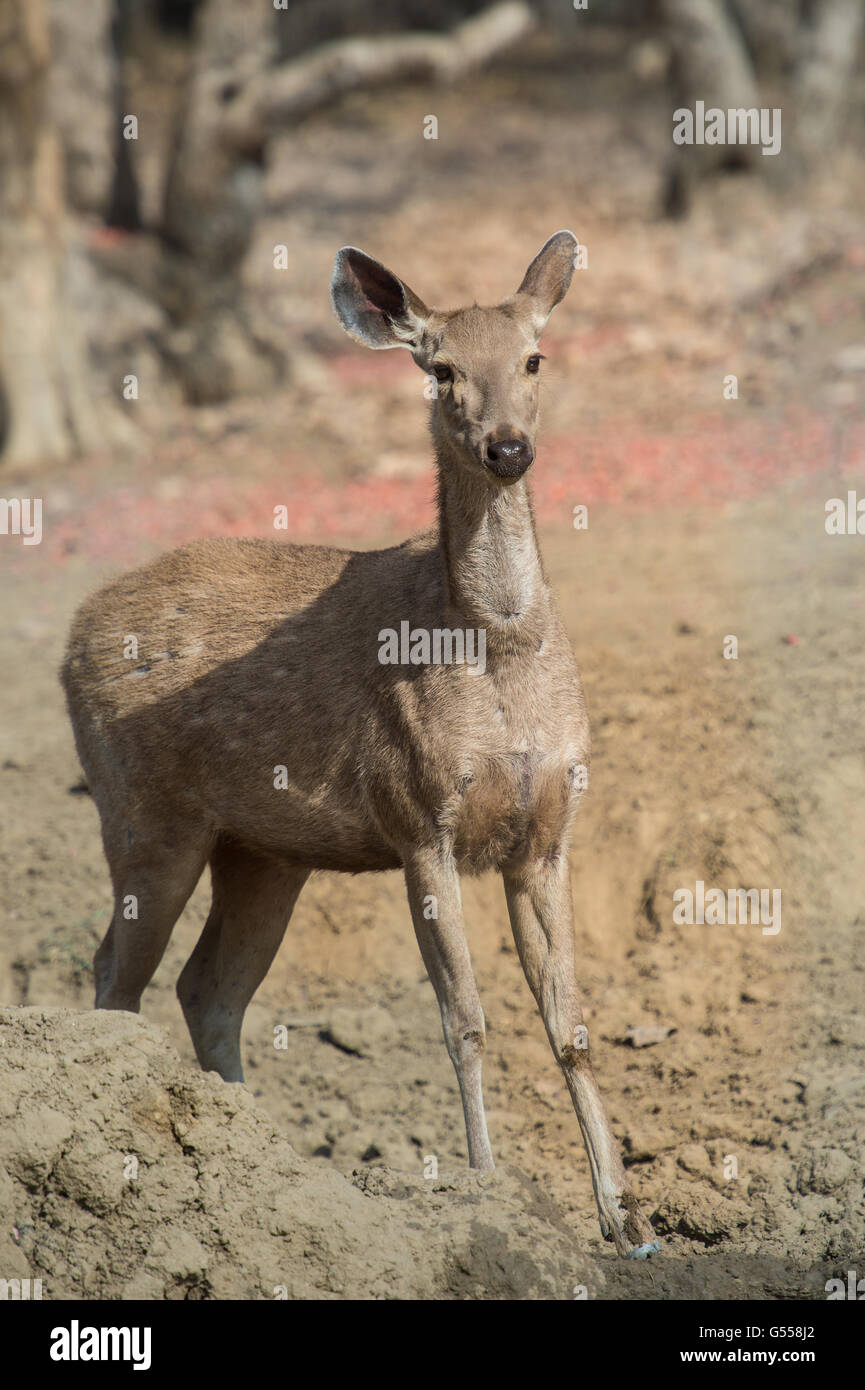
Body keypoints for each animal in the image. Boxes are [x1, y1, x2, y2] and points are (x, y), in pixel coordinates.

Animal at [64, 230, 661, 1262]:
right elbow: (464, 1021)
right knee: (115, 975)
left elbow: (572, 1023)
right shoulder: (419, 819)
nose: (508, 448)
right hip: (143, 814)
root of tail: (69, 634)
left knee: (207, 988)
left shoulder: (548, 832)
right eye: (440, 369)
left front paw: (624, 1220)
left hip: (265, 851)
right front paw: (486, 1189)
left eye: (534, 358)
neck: (495, 652)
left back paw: (266, 1172)